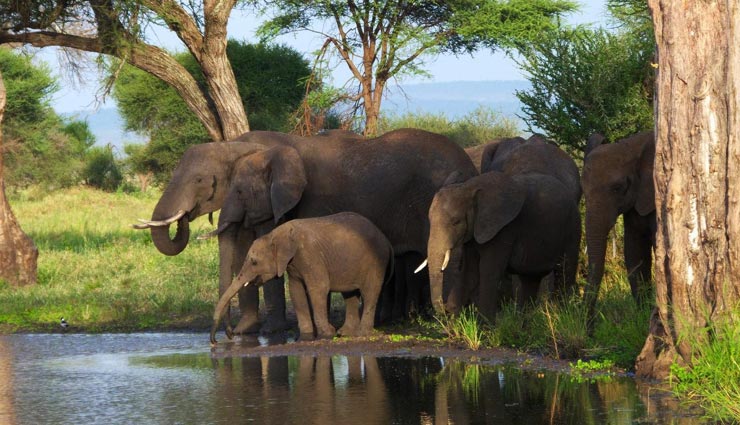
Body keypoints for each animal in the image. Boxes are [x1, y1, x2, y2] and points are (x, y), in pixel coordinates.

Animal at [210, 212, 393, 344]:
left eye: (254, 262)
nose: (227, 337)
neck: (276, 234)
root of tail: (386, 240)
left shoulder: (309, 254)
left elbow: (318, 288)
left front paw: (326, 334)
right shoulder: (292, 264)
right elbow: (296, 291)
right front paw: (306, 337)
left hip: (376, 261)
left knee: (370, 292)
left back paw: (362, 334)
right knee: (349, 294)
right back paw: (346, 333)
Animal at [419, 169, 582, 321]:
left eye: (456, 222)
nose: (445, 308)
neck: (469, 187)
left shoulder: (504, 229)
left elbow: (488, 270)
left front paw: (486, 325)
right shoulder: (474, 232)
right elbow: (470, 271)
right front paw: (457, 321)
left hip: (572, 227)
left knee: (565, 271)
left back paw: (565, 315)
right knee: (530, 279)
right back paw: (525, 321)